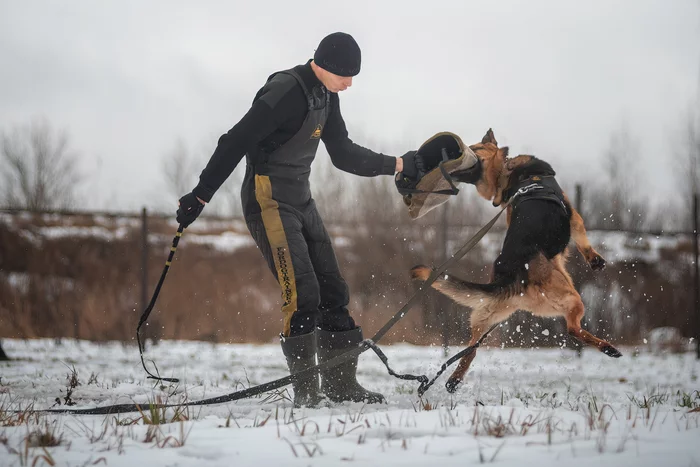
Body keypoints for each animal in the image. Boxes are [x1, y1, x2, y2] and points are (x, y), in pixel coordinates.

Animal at [412, 129, 620, 394]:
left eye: (473, 149)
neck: (508, 171)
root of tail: (511, 276)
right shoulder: (574, 216)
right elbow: (583, 241)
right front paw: (595, 260)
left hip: (489, 316)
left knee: (471, 349)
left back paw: (453, 380)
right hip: (572, 298)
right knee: (573, 329)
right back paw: (608, 348)